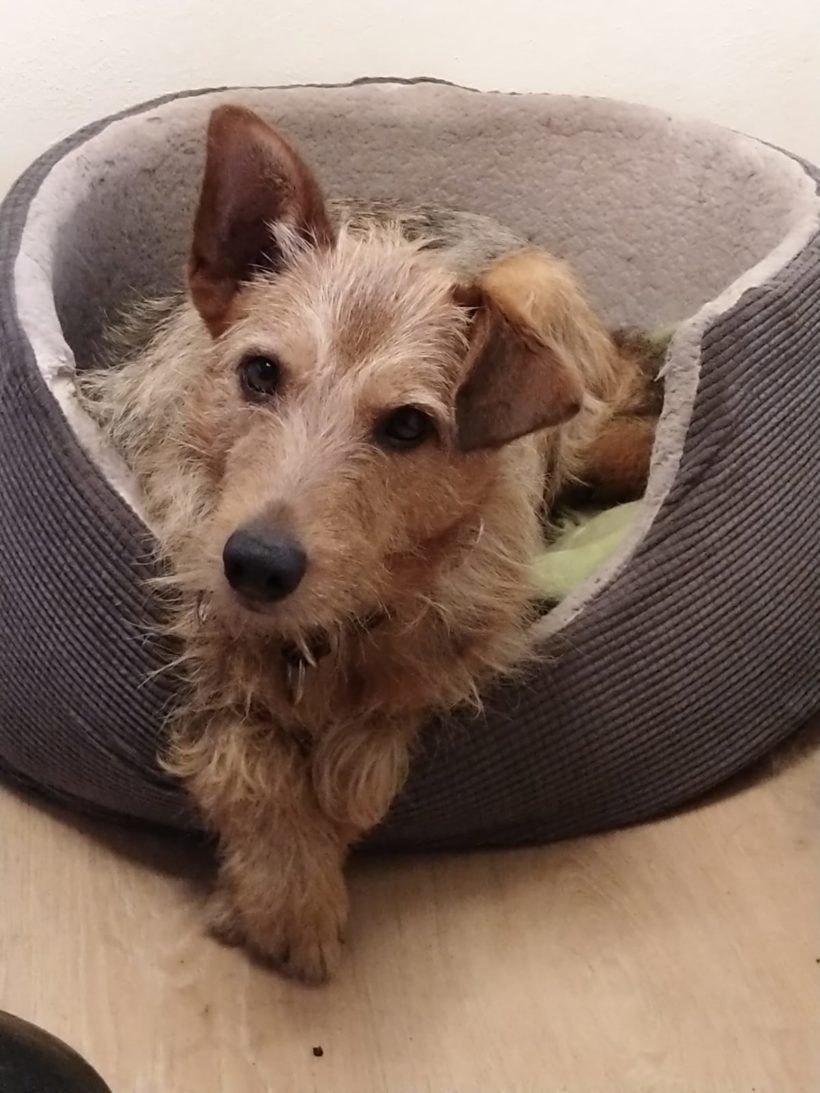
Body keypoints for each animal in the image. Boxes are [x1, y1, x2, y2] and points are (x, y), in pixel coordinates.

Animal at [79, 104, 659, 983]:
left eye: (409, 426)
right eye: (258, 373)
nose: (256, 564)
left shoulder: (469, 623)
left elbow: (375, 740)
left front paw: (330, 804)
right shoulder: (197, 611)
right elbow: (245, 754)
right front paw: (284, 893)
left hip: (536, 287)